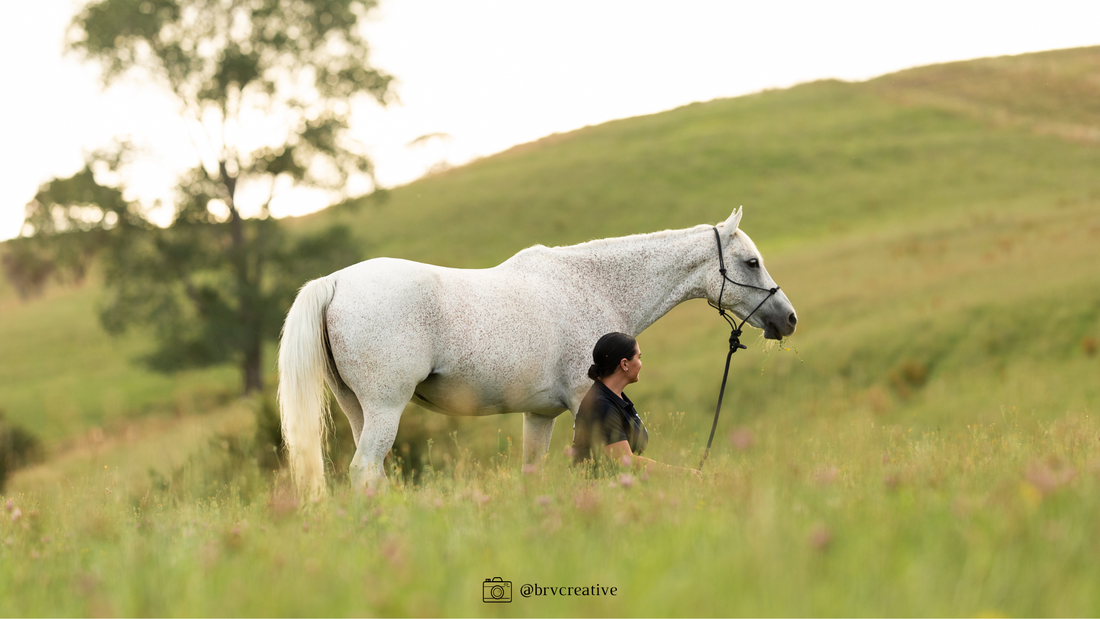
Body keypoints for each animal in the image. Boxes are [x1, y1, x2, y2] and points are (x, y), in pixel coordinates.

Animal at [279, 207, 796, 499]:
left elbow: (533, 473)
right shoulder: (582, 404)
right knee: (365, 471)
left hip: (357, 408)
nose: (788, 319)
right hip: (386, 407)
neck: (593, 283)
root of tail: (335, 282)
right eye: (751, 262)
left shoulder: (539, 415)